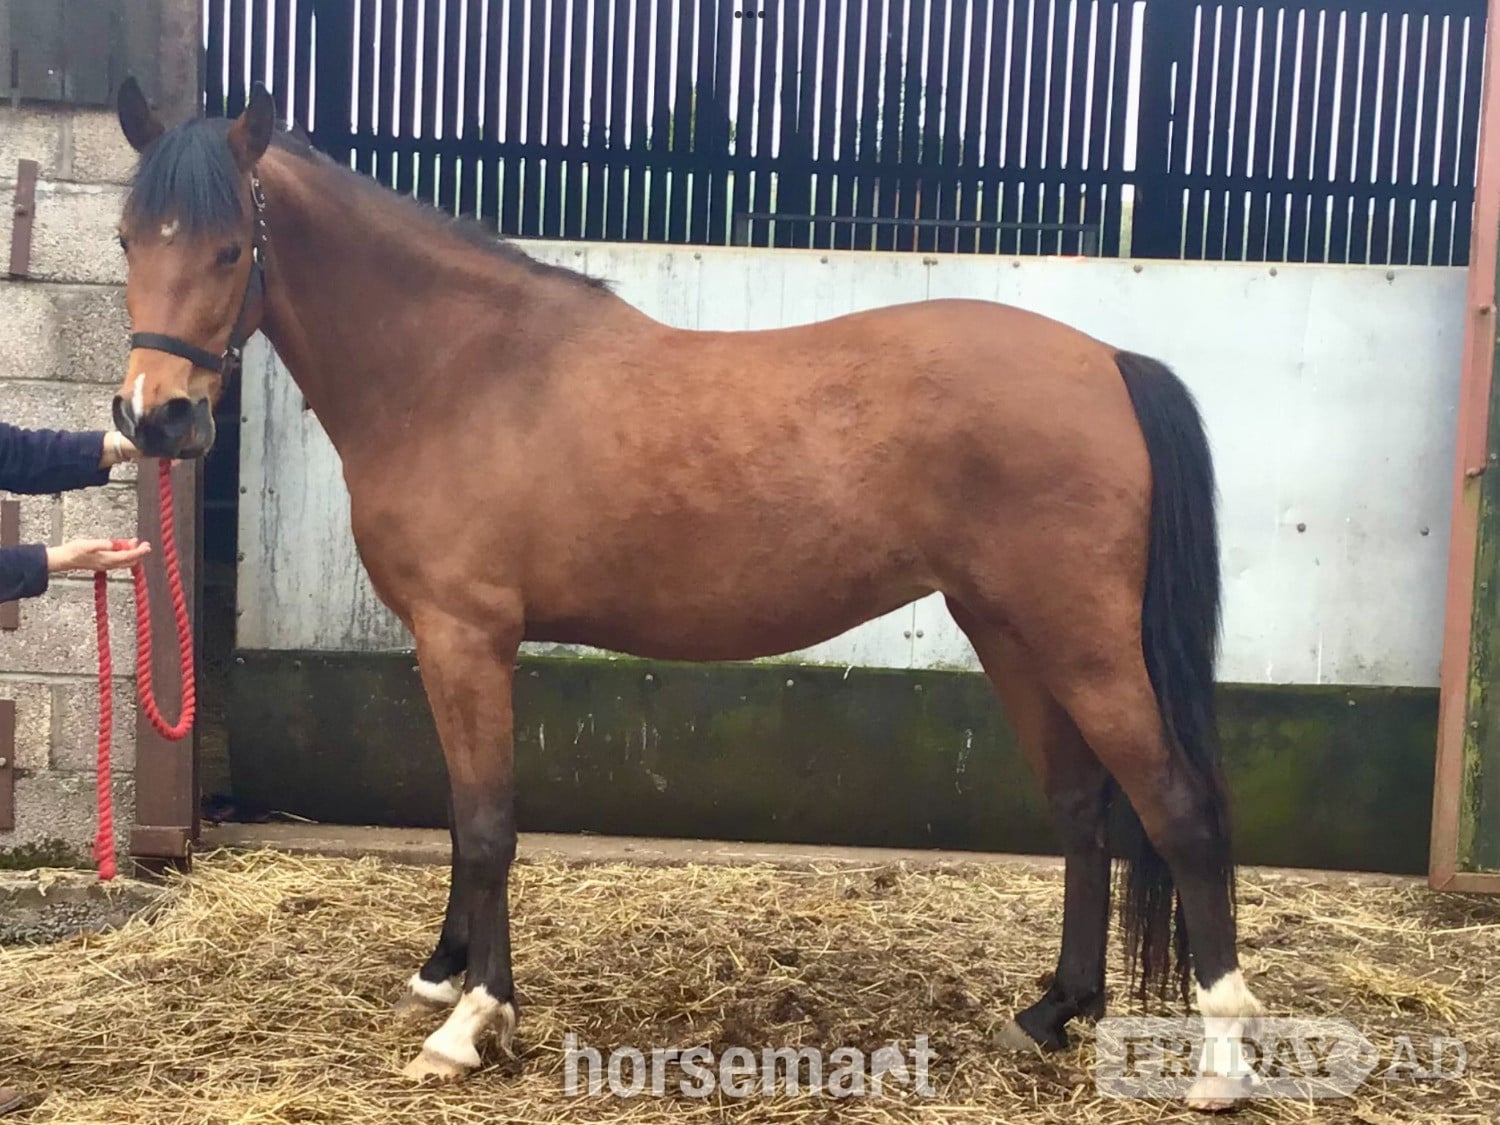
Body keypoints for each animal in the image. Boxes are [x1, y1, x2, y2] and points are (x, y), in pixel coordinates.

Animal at [109, 78, 1262, 1110]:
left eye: (229, 248)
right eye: (127, 240)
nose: (156, 418)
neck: (459, 371)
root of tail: (1106, 360)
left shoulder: (466, 636)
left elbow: (485, 822)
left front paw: (472, 1021)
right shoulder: (449, 646)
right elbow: (459, 813)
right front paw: (447, 974)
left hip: (1084, 642)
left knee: (1180, 808)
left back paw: (1221, 1058)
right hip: (1012, 632)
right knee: (1082, 810)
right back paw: (1055, 1011)